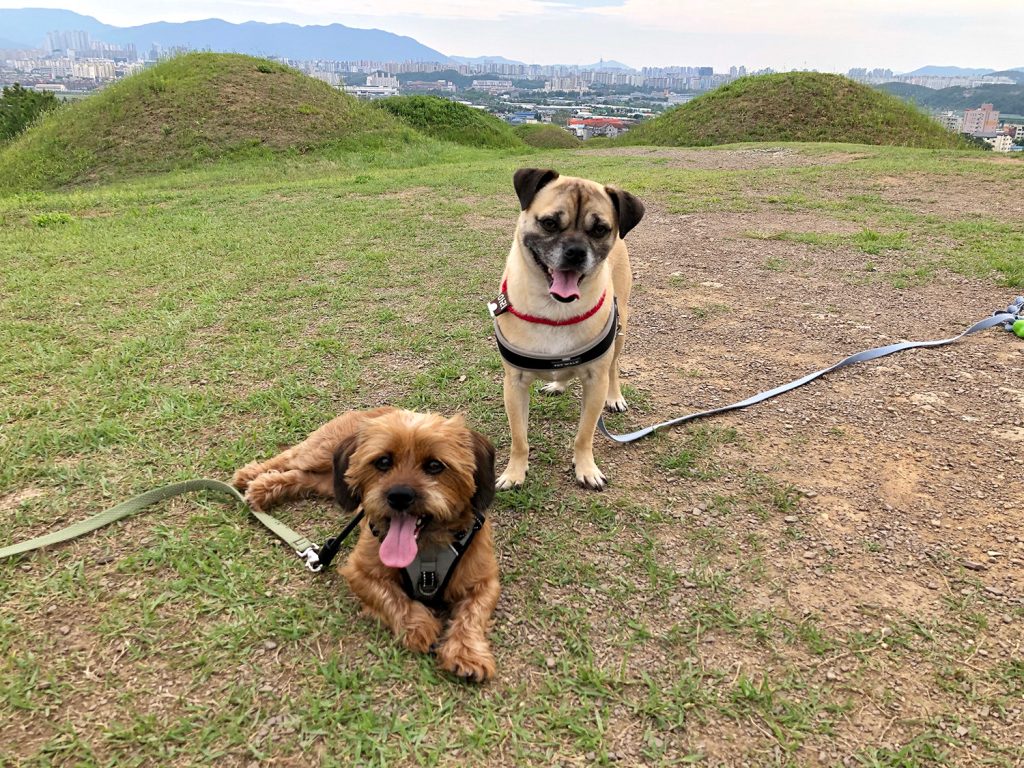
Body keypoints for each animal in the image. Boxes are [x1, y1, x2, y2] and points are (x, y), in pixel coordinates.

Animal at [233, 411, 503, 684]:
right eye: (383, 462)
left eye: (435, 466)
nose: (399, 496)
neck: (428, 548)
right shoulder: (360, 572)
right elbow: (393, 598)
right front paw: (419, 626)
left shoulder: (484, 581)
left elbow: (472, 614)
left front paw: (467, 653)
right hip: (320, 452)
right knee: (289, 456)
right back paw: (249, 474)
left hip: (328, 482)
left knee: (300, 477)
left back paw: (261, 489)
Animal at [491, 169, 643, 493]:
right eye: (549, 223)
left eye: (599, 230)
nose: (575, 251)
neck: (555, 310)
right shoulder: (514, 385)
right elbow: (519, 438)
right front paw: (514, 472)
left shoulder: (595, 382)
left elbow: (584, 435)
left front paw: (586, 468)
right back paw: (557, 384)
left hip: (621, 329)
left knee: (614, 367)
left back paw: (615, 397)